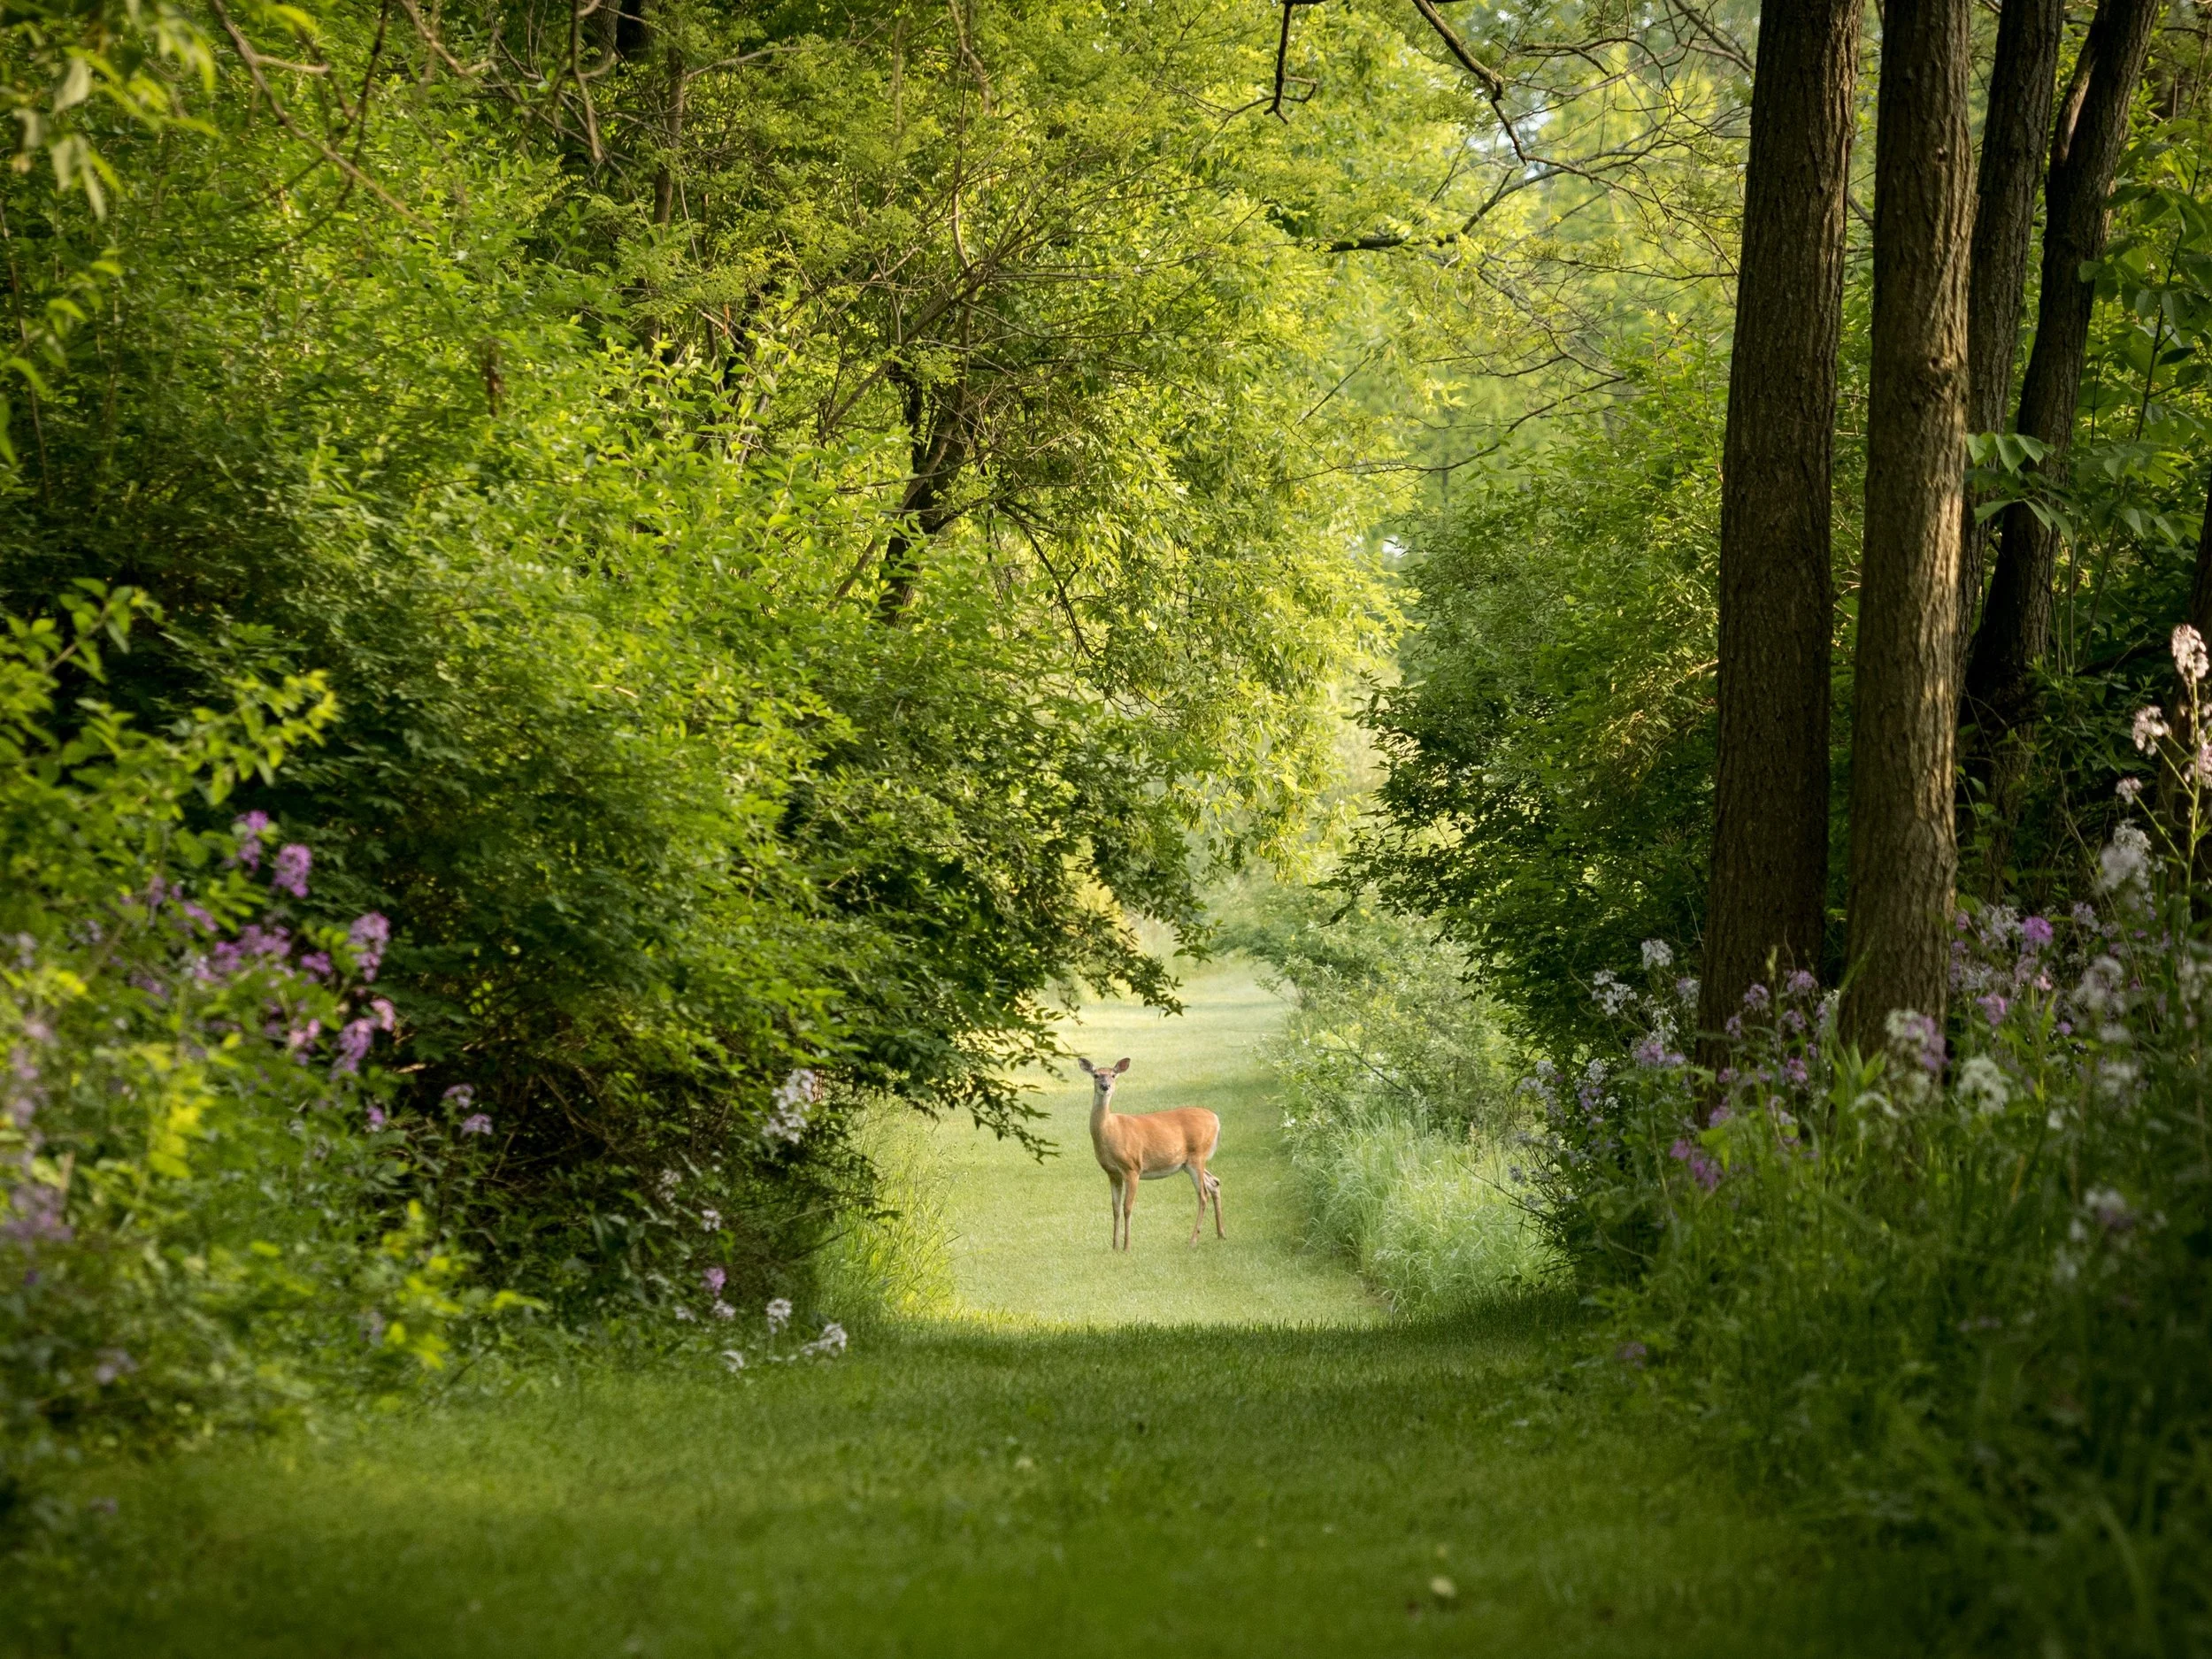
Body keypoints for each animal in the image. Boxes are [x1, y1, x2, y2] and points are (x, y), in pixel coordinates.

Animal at [1078, 1057, 1223, 1252]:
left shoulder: (1132, 1168)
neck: (1110, 1130)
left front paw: (1127, 1247)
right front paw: (1114, 1246)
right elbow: (1115, 1208)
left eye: (1113, 1075)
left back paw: (1193, 1241)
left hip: (1197, 1156)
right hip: (1187, 1163)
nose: (1105, 1086)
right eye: (1096, 1075)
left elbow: (1127, 1207)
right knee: (1214, 1182)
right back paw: (1221, 1234)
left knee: (1203, 1194)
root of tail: (1216, 1119)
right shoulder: (1112, 1172)